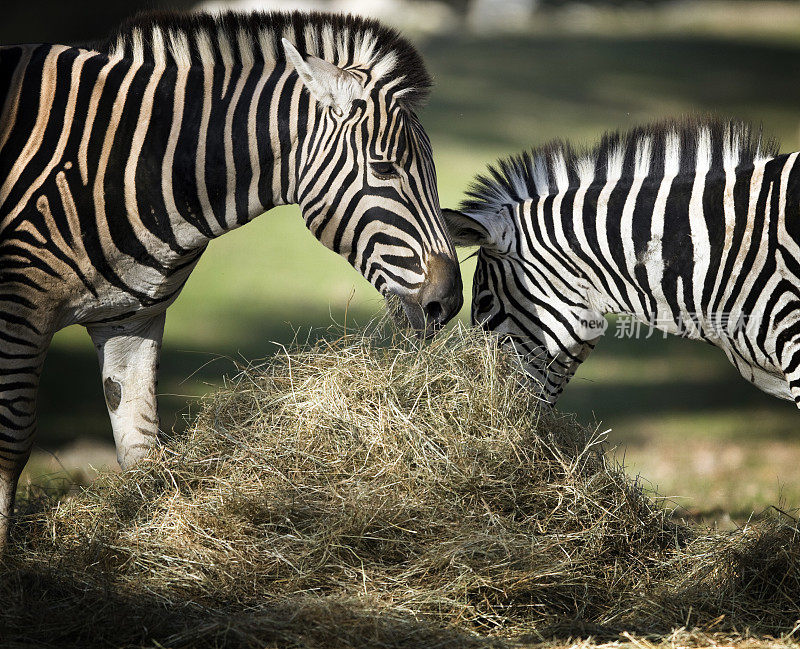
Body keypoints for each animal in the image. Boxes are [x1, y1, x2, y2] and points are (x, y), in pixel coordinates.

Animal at [0, 10, 462, 548]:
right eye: (384, 167)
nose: (449, 302)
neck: (138, 163)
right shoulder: (20, 312)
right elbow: (10, 444)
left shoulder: (128, 319)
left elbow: (141, 450)